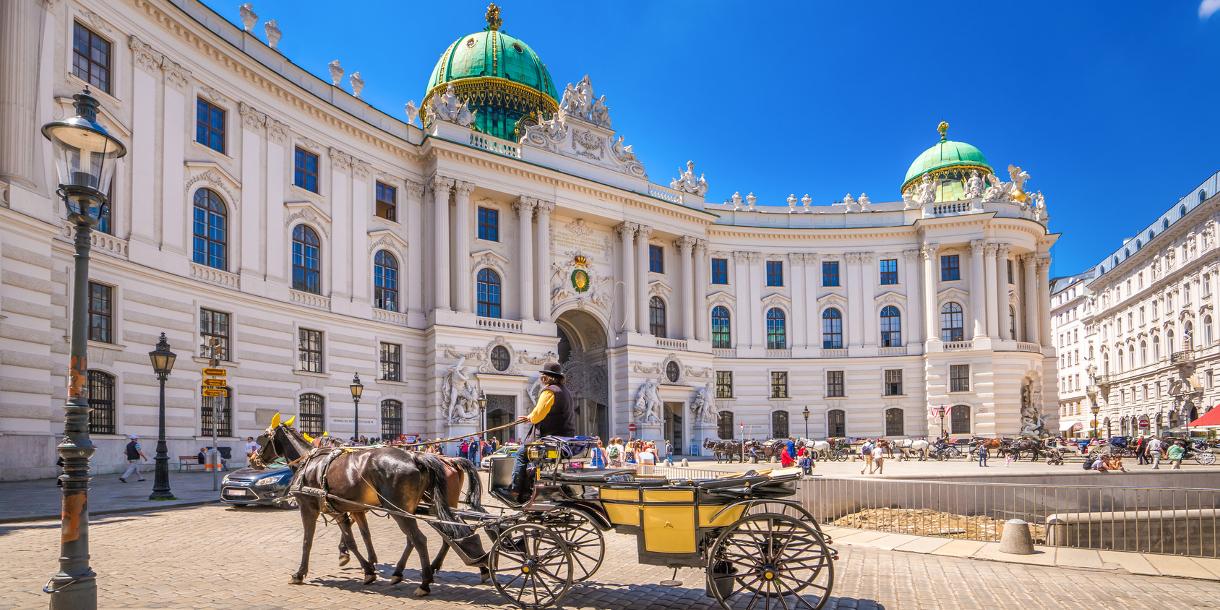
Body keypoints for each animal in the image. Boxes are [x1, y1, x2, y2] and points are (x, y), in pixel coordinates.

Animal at [253, 419, 485, 595]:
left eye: (263, 438)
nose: (253, 459)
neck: (312, 463)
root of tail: (416, 457)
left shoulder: (309, 508)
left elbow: (307, 541)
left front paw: (300, 573)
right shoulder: (347, 509)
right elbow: (359, 538)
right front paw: (368, 566)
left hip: (403, 509)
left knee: (421, 539)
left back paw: (425, 582)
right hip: (424, 508)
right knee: (444, 534)